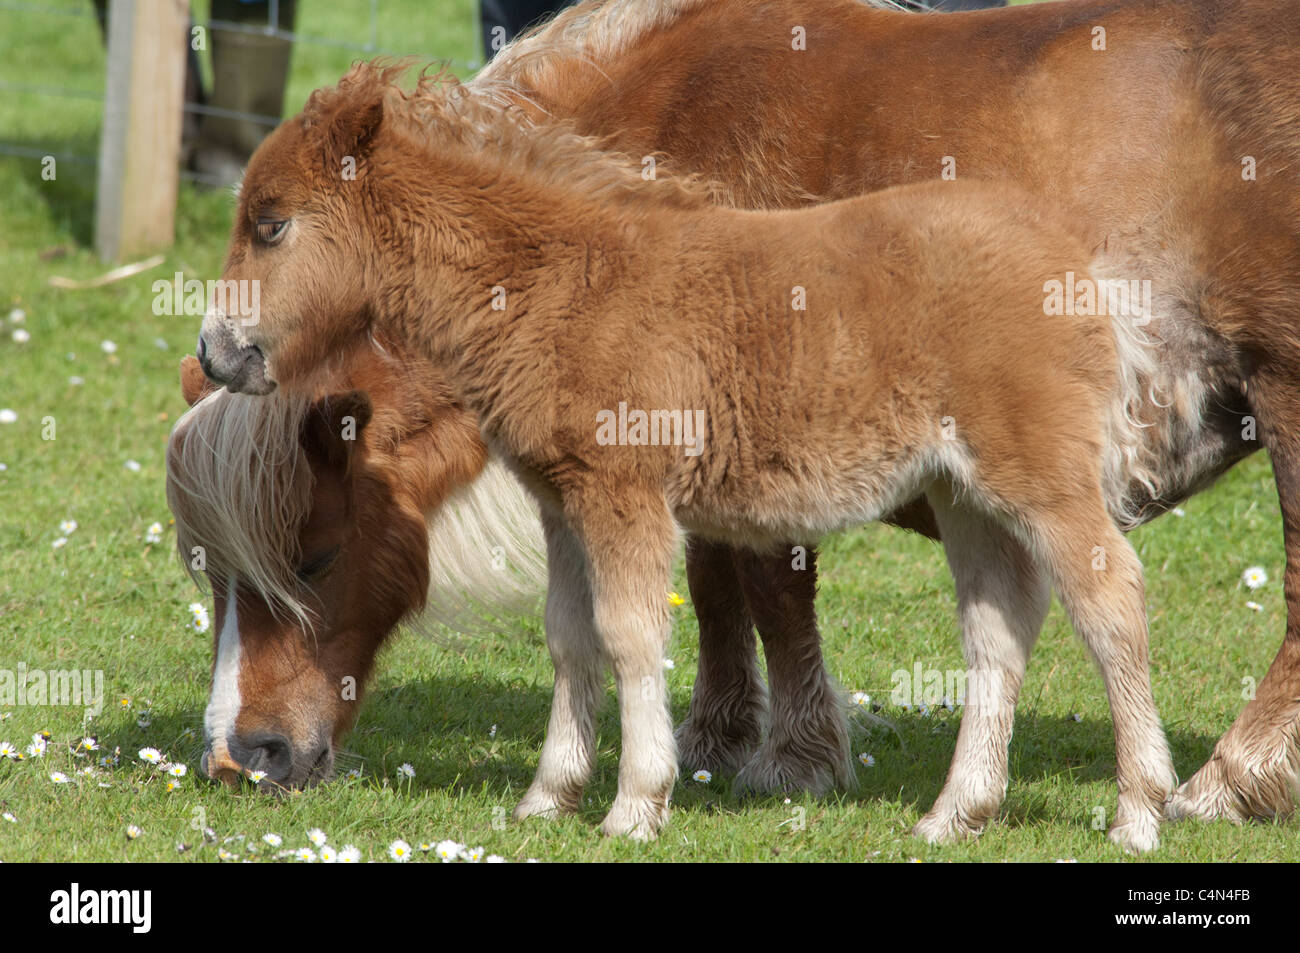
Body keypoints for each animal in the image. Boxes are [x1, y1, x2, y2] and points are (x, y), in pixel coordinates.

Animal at [200, 66, 1180, 847]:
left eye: (272, 224)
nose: (217, 352)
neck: (557, 281)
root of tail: (1072, 263)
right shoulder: (561, 499)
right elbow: (570, 636)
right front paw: (548, 797)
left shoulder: (625, 490)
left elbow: (632, 635)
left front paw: (635, 804)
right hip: (962, 493)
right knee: (997, 630)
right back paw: (956, 814)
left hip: (1041, 478)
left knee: (1111, 602)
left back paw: (1139, 812)